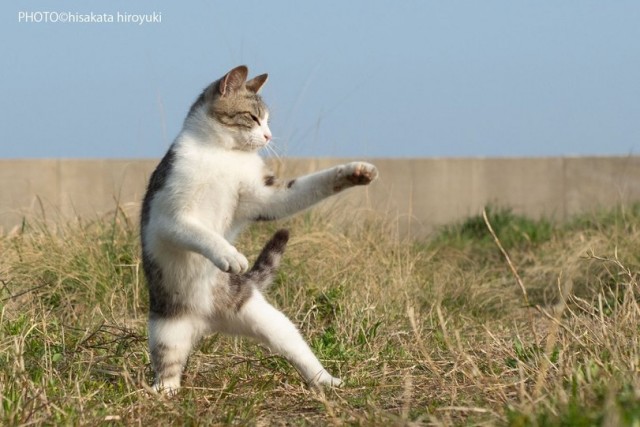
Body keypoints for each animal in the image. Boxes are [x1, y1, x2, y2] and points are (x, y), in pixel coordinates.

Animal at [140, 64, 378, 394]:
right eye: (253, 117)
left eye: (267, 120)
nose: (268, 136)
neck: (222, 154)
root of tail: (208, 322)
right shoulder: (171, 217)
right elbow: (203, 234)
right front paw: (230, 256)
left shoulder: (263, 197)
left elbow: (305, 187)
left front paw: (353, 172)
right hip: (166, 330)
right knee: (169, 365)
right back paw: (163, 392)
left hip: (265, 318)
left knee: (297, 348)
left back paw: (327, 381)